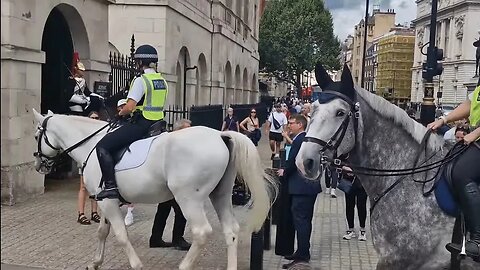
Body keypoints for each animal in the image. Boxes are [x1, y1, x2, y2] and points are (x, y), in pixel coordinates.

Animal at [31, 108, 276, 268]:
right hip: (221, 194)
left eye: (36, 135)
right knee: (230, 230)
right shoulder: (105, 200)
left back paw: (183, 266)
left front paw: (136, 265)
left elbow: (120, 235)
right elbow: (102, 232)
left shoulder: (108, 202)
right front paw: (95, 262)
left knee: (201, 232)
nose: (39, 165)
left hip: (189, 198)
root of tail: (219, 135)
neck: (92, 144)